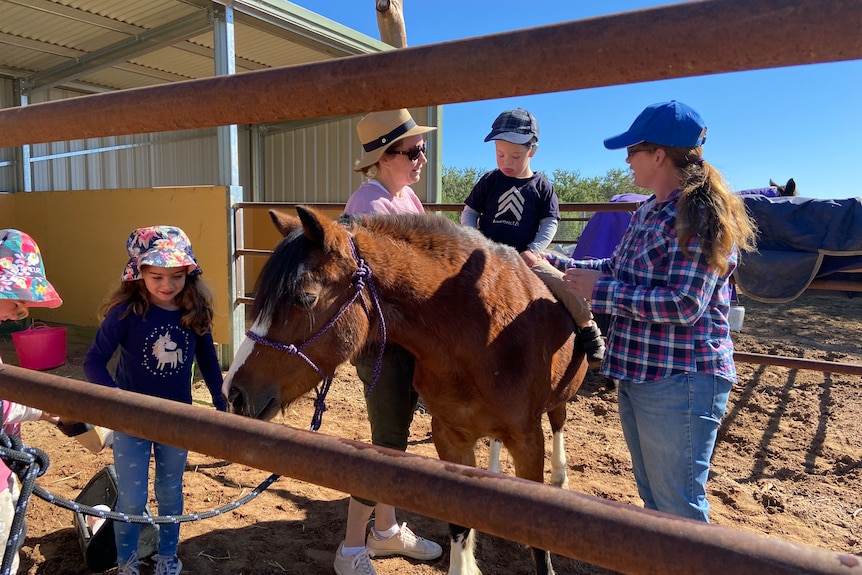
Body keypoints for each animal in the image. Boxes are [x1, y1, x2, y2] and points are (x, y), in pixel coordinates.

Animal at [223, 207, 592, 575]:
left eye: (305, 298)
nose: (234, 392)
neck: (484, 335)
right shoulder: (450, 436)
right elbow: (460, 522)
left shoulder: (528, 440)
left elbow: (538, 544)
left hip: (559, 401)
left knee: (559, 421)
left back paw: (560, 476)